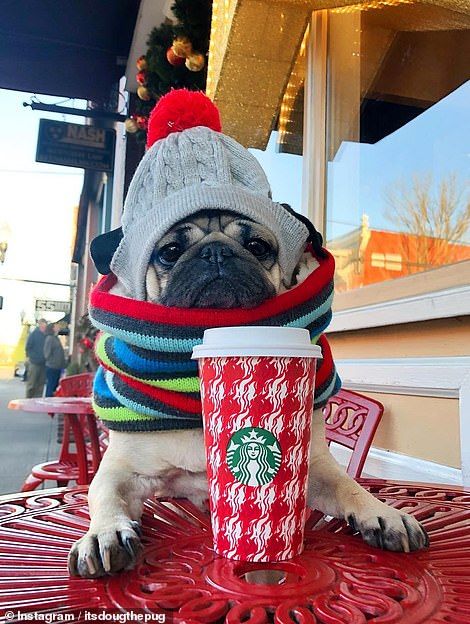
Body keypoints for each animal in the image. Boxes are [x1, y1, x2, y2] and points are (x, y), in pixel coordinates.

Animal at [68, 207, 428, 576]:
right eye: (170, 251)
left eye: (257, 246)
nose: (215, 252)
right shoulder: (122, 470)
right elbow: (103, 494)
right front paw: (104, 532)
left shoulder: (314, 465)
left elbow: (348, 486)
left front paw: (383, 513)